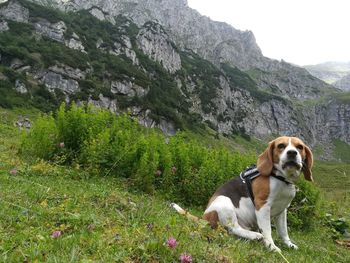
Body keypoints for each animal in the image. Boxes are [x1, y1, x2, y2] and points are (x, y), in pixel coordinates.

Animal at [172, 137, 312, 253]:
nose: (292, 153)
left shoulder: (282, 210)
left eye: (300, 147)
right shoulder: (262, 206)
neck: (281, 178)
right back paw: (255, 236)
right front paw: (272, 247)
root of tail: (204, 217)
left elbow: (283, 231)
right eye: (281, 146)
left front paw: (289, 244)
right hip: (224, 202)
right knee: (233, 228)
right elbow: (267, 231)